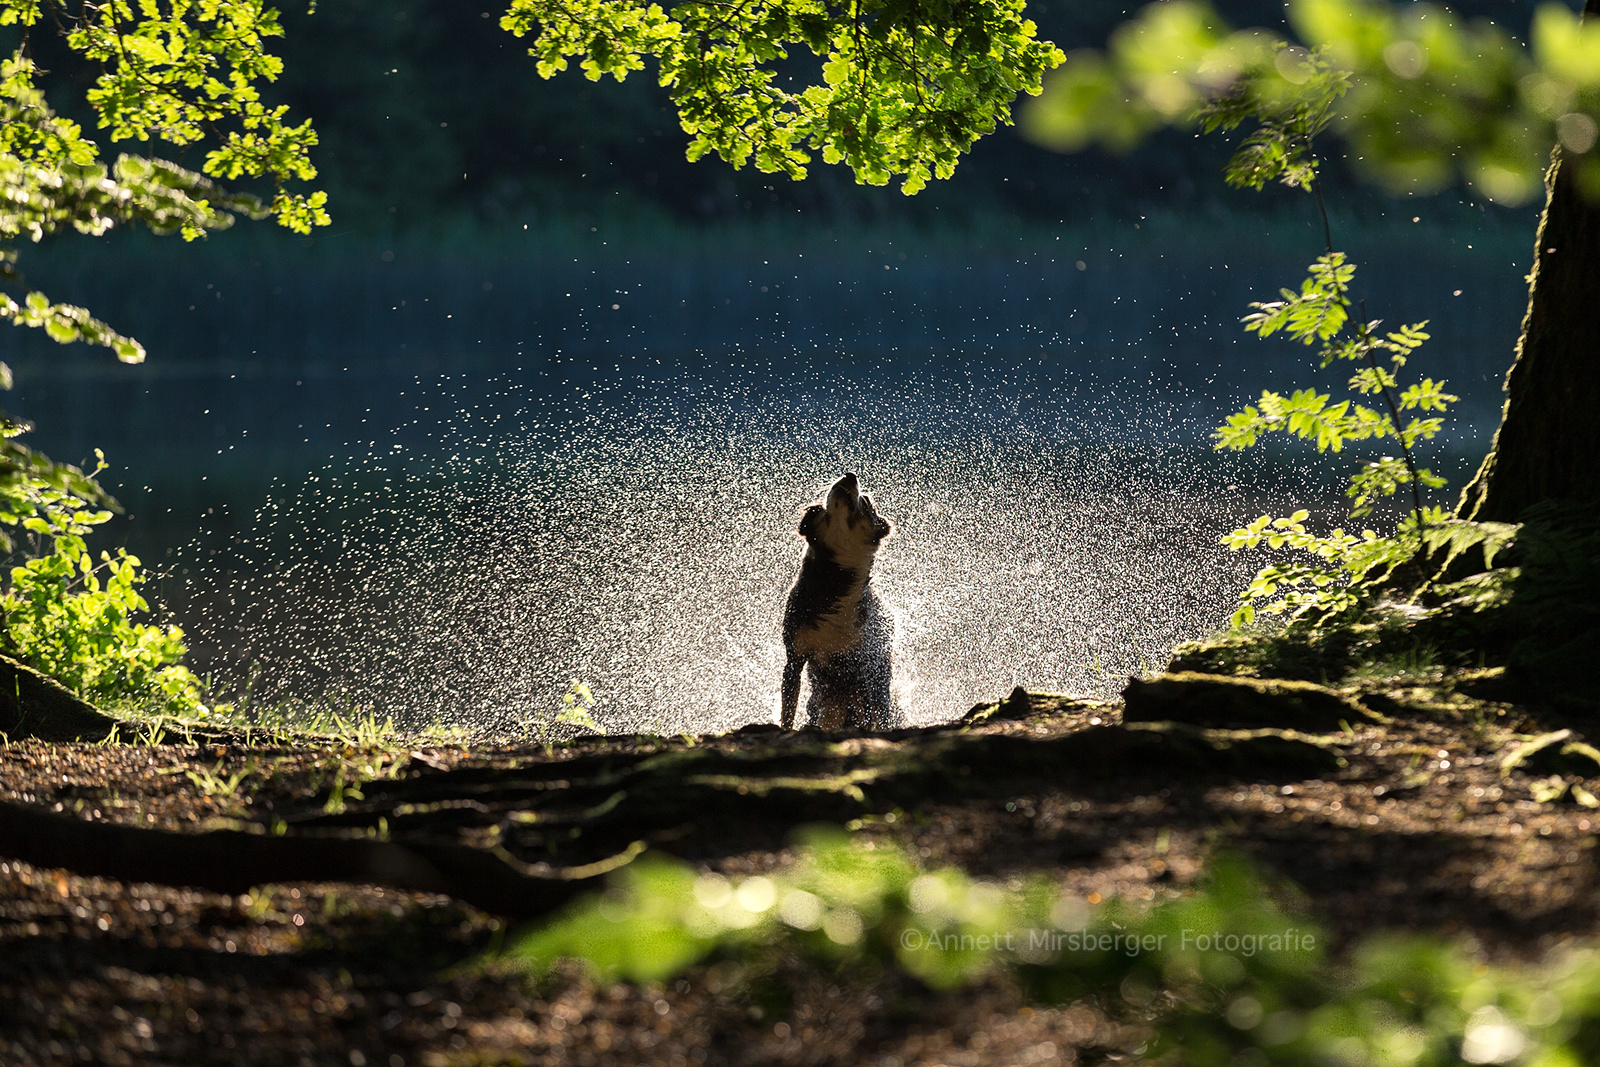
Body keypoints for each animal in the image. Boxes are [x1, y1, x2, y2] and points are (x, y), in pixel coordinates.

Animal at [777, 476, 902, 735]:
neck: (835, 581)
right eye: (825, 503)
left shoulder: (862, 662)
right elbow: (788, 709)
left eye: (866, 503)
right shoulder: (794, 657)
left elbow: (871, 713)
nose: (850, 475)